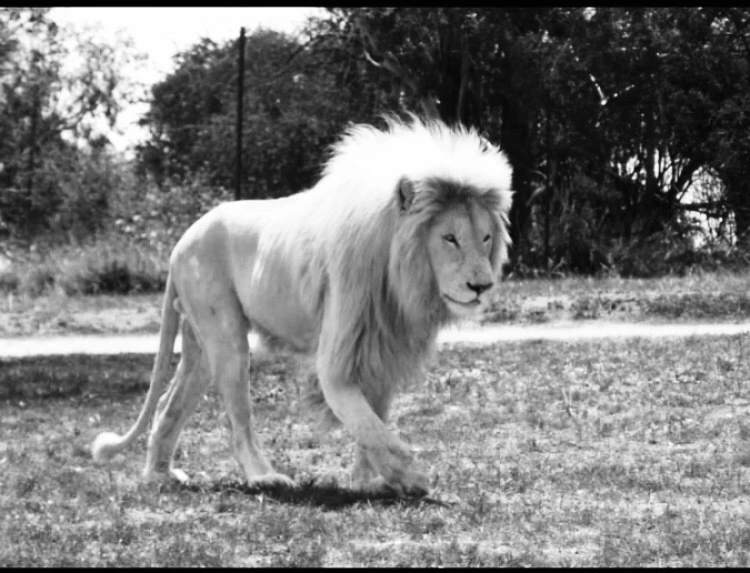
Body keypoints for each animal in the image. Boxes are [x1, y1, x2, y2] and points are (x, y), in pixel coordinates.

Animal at [91, 114, 513, 497]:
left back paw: (159, 475)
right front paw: (409, 475)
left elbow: (373, 418)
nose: (481, 286)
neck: (400, 280)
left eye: (486, 237)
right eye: (449, 238)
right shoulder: (339, 357)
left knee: (168, 404)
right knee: (238, 419)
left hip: (200, 344)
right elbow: (364, 419)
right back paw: (265, 476)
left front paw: (370, 481)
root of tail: (181, 242)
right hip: (225, 335)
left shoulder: (382, 349)